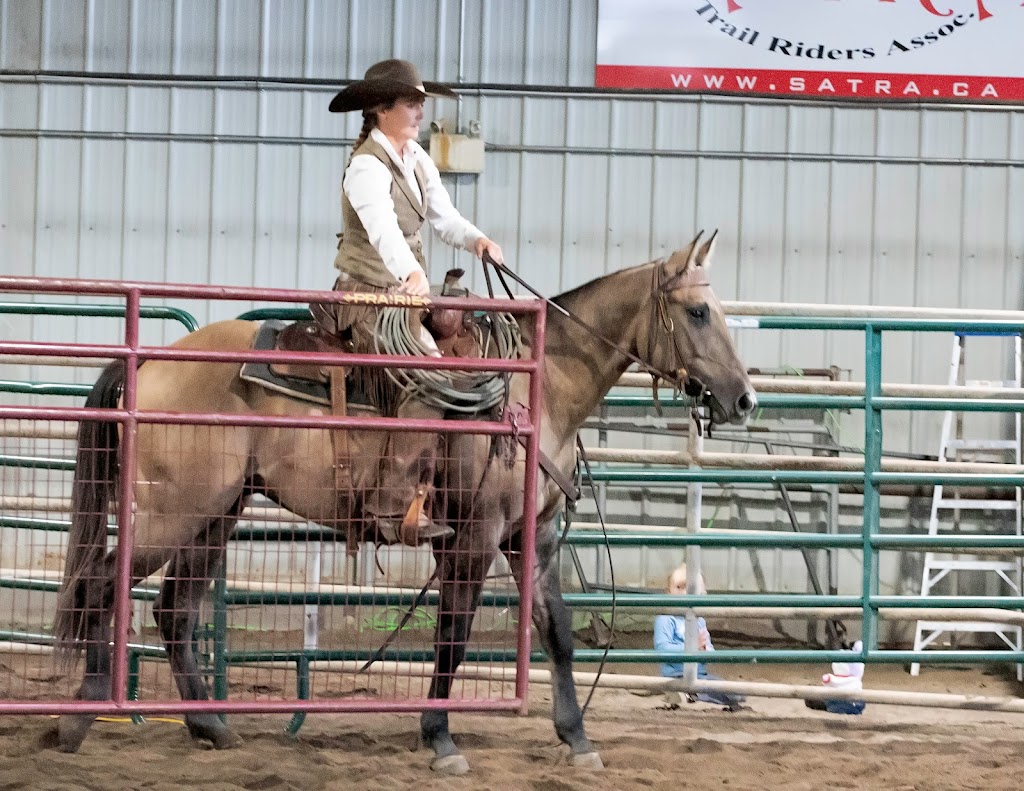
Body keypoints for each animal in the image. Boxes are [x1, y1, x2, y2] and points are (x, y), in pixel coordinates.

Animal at [58, 228, 761, 770]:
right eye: (698, 312)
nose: (745, 399)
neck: (538, 390)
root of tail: (151, 362)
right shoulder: (472, 539)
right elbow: (453, 632)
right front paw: (440, 739)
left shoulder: (531, 539)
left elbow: (557, 632)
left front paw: (577, 739)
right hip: (171, 511)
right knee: (102, 585)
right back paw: (78, 718)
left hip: (214, 513)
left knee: (173, 609)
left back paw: (211, 727)